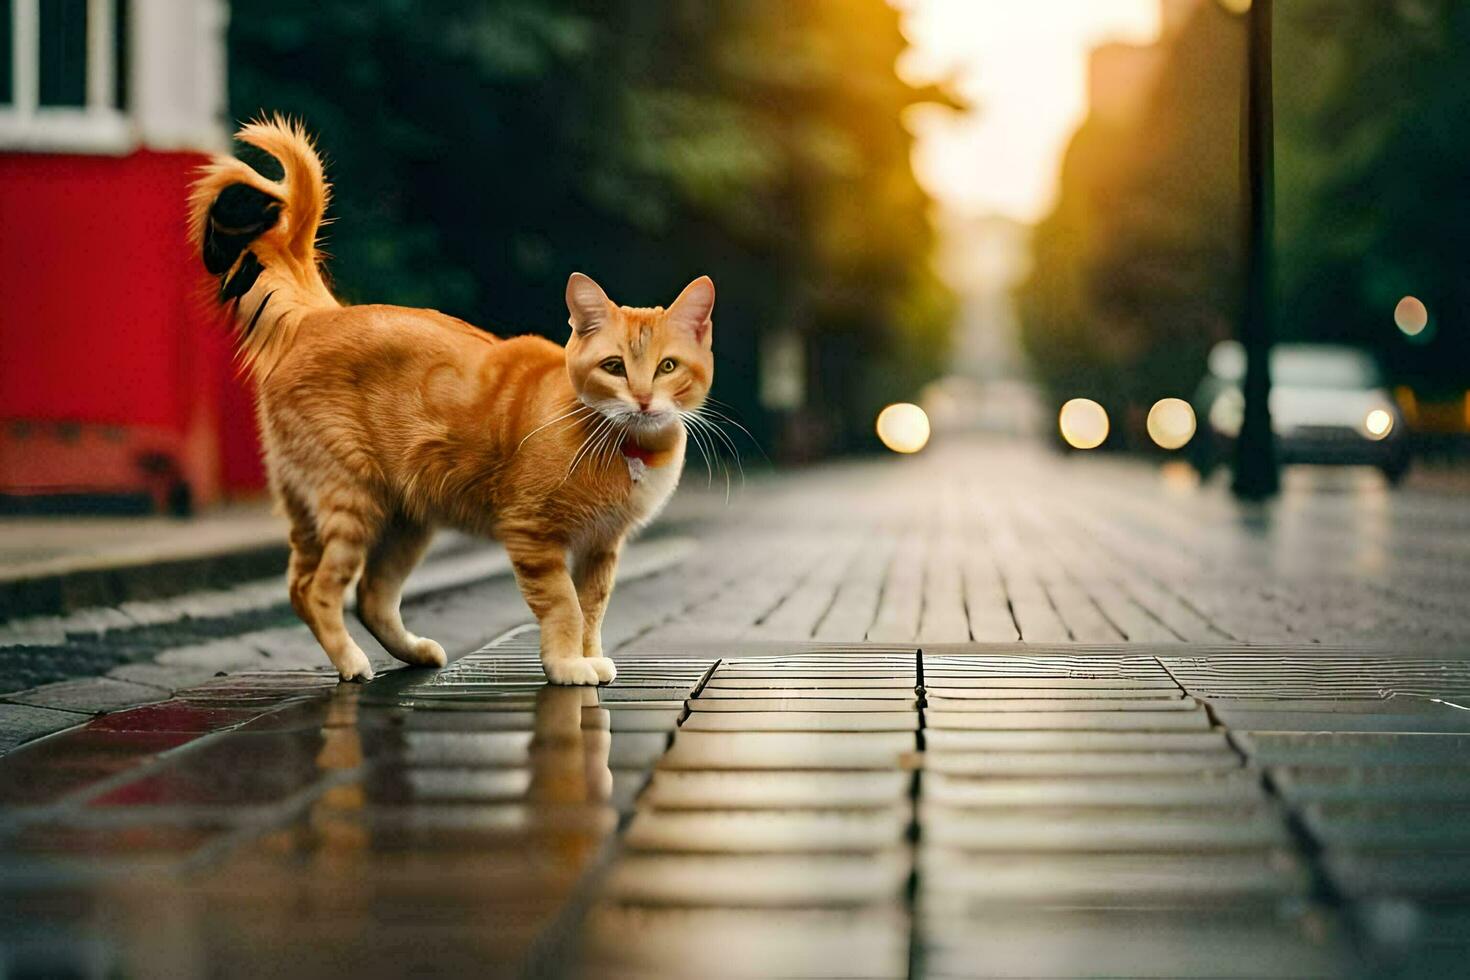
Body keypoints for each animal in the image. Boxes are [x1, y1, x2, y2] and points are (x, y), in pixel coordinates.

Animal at [186, 119, 714, 687]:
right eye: (615, 367)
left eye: (667, 368)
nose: (643, 399)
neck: (626, 445)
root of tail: (321, 313)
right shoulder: (534, 535)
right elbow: (565, 607)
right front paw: (567, 664)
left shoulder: (600, 548)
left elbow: (593, 607)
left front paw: (589, 655)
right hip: (351, 501)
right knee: (320, 590)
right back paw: (352, 664)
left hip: (394, 521)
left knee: (354, 592)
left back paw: (413, 652)